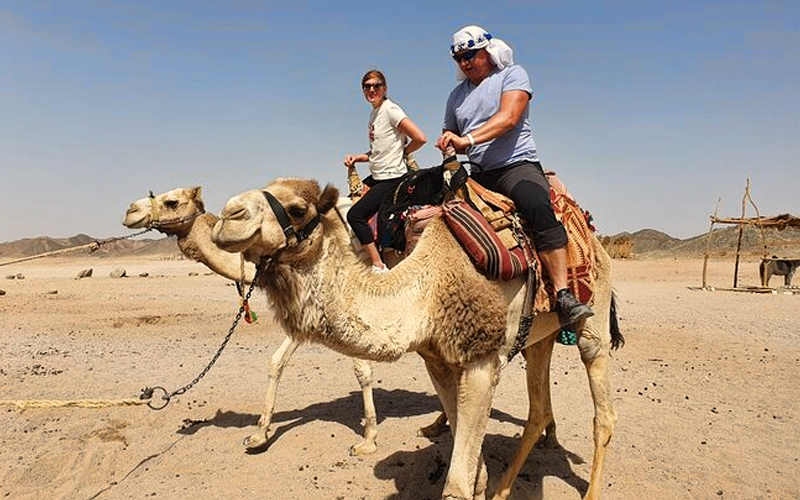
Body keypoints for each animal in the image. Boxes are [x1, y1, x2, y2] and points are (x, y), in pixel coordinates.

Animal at [121, 187, 423, 455]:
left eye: (171, 202)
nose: (130, 210)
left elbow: (362, 370)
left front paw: (368, 439)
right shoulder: (308, 310)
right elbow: (276, 362)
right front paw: (259, 435)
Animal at [211, 177, 622, 500]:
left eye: (296, 209)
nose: (229, 214)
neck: (428, 287)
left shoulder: (482, 360)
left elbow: (458, 485)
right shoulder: (437, 361)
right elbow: (473, 469)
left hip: (593, 320)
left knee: (603, 413)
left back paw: (590, 491)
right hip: (539, 338)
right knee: (538, 410)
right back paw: (504, 489)